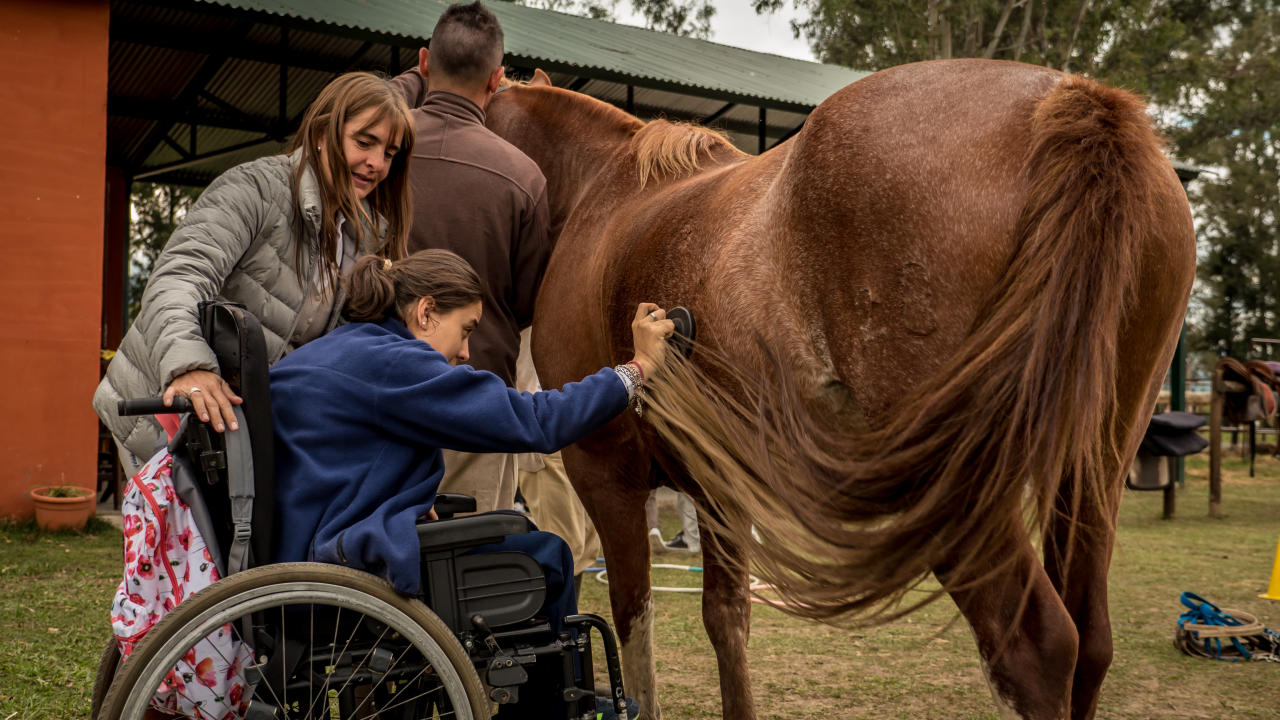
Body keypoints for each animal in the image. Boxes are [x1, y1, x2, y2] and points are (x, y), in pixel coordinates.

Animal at [483, 57, 1192, 717]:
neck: (607, 198)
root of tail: (1073, 100)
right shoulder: (718, 487)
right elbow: (726, 619)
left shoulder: (605, 475)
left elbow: (633, 628)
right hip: (1093, 468)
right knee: (1092, 642)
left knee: (1035, 650)